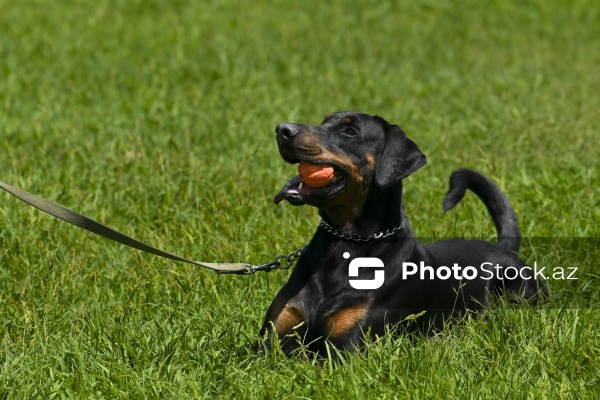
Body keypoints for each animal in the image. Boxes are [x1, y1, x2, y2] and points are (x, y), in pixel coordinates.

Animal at [260, 111, 548, 354]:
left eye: (349, 132)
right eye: (323, 121)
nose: (282, 129)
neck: (345, 244)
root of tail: (503, 248)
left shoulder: (347, 347)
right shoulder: (269, 341)